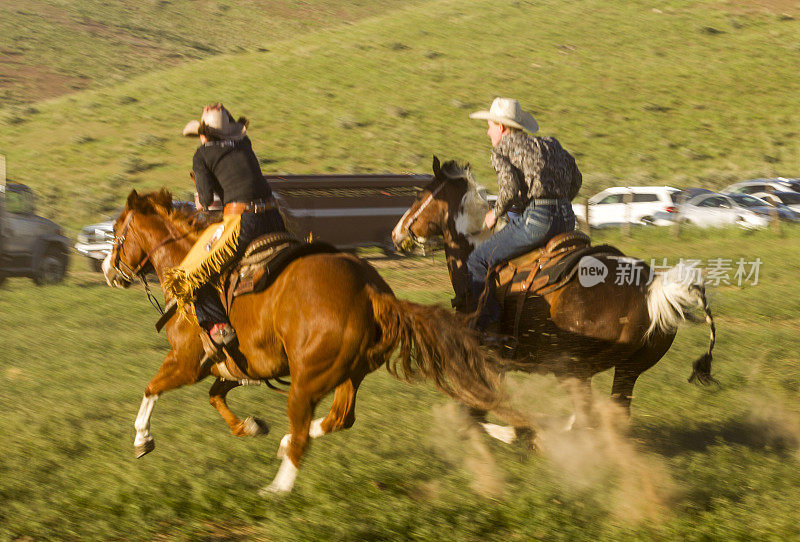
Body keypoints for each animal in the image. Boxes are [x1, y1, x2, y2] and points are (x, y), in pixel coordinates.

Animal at [104, 191, 532, 498]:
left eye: (117, 231)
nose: (108, 271)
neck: (189, 271)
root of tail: (372, 292)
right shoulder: (235, 368)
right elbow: (215, 396)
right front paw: (251, 426)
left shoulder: (186, 362)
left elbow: (152, 388)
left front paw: (142, 439)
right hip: (347, 374)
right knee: (339, 419)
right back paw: (283, 443)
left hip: (307, 380)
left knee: (304, 434)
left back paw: (277, 487)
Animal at [390, 157, 716, 442]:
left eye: (420, 196)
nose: (396, 233)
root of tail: (652, 291)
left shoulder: (487, 358)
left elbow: (479, 411)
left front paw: (522, 434)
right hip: (628, 370)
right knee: (614, 416)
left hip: (574, 372)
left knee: (588, 418)